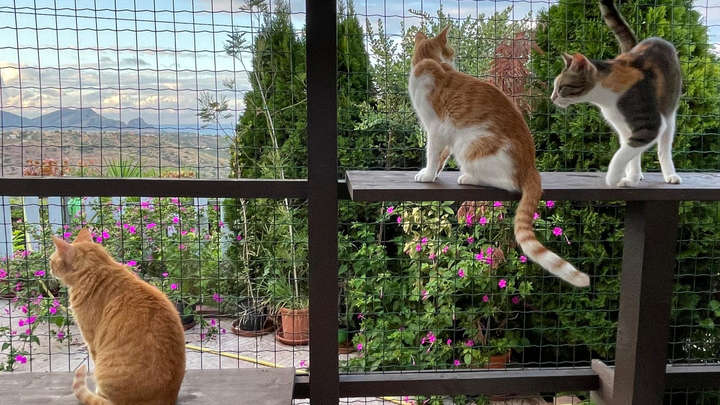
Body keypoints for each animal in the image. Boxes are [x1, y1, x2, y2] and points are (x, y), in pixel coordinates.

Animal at [50, 228, 185, 405]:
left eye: (51, 261)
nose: (50, 269)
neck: (96, 269)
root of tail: (164, 399)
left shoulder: (91, 340)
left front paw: (98, 392)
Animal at [410, 26, 590, 287]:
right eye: (451, 51)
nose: (453, 58)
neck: (427, 61)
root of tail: (531, 166)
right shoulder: (442, 132)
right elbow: (440, 155)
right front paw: (434, 172)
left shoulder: (435, 127)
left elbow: (432, 153)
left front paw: (428, 174)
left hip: (470, 144)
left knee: (507, 183)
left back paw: (469, 177)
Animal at [550, 0, 683, 187]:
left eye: (561, 87)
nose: (552, 97)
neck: (606, 100)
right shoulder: (626, 128)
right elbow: (630, 154)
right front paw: (631, 177)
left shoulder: (650, 124)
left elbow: (623, 154)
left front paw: (614, 178)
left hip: (668, 116)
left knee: (663, 148)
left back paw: (670, 175)